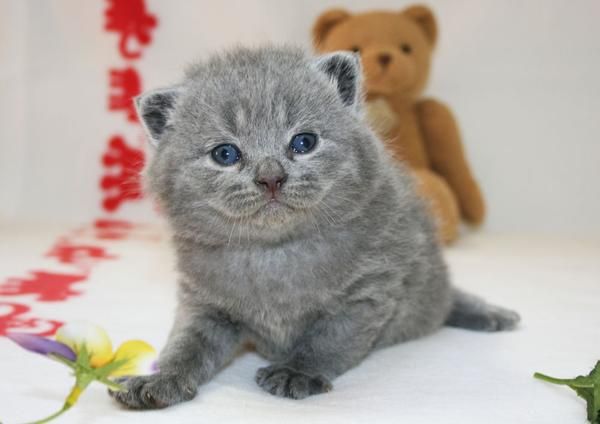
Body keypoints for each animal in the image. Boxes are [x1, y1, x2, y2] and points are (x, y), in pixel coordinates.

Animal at [109, 45, 520, 408]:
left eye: (303, 142)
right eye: (225, 154)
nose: (270, 177)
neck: (274, 253)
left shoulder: (367, 293)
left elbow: (327, 340)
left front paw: (297, 372)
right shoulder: (205, 304)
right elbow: (185, 346)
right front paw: (158, 380)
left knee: (448, 298)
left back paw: (491, 315)